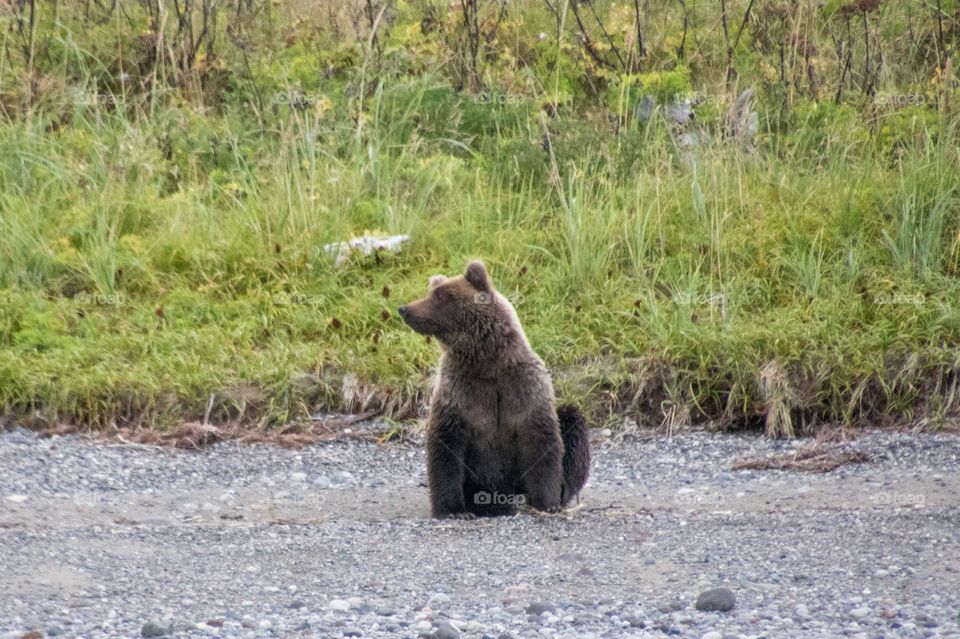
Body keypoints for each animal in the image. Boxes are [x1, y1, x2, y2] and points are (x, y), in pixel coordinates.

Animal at [400, 260, 592, 520]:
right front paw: (452, 509)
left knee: (572, 423)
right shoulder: (459, 390)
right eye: (431, 292)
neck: (489, 363)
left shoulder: (523, 387)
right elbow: (445, 445)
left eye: (441, 295)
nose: (405, 309)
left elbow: (542, 441)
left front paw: (547, 503)